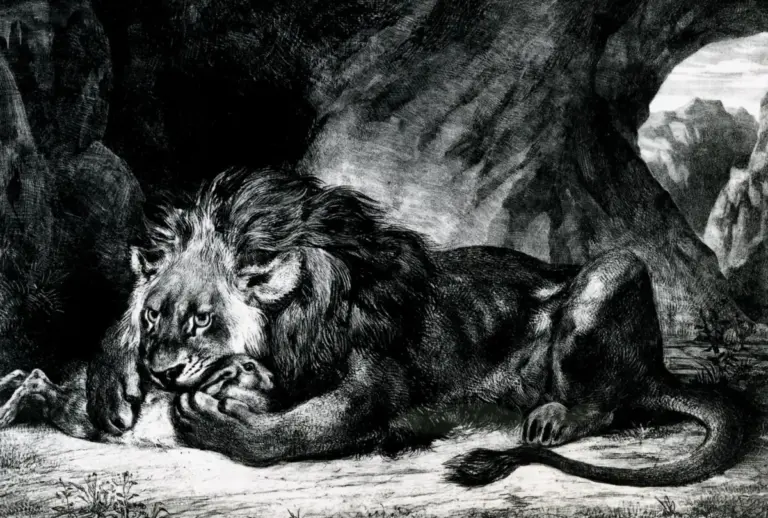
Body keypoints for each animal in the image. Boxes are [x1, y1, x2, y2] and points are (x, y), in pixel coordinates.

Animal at [0, 354, 274, 448]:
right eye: (249, 367)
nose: (273, 378)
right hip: (74, 415)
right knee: (35, 380)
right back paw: (5, 415)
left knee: (27, 376)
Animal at [86, 167, 745, 487]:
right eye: (154, 316)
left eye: (202, 320)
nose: (161, 371)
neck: (297, 315)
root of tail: (657, 369)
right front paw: (111, 383)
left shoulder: (377, 382)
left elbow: (304, 428)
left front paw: (221, 422)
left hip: (614, 272)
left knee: (604, 407)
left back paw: (552, 418)